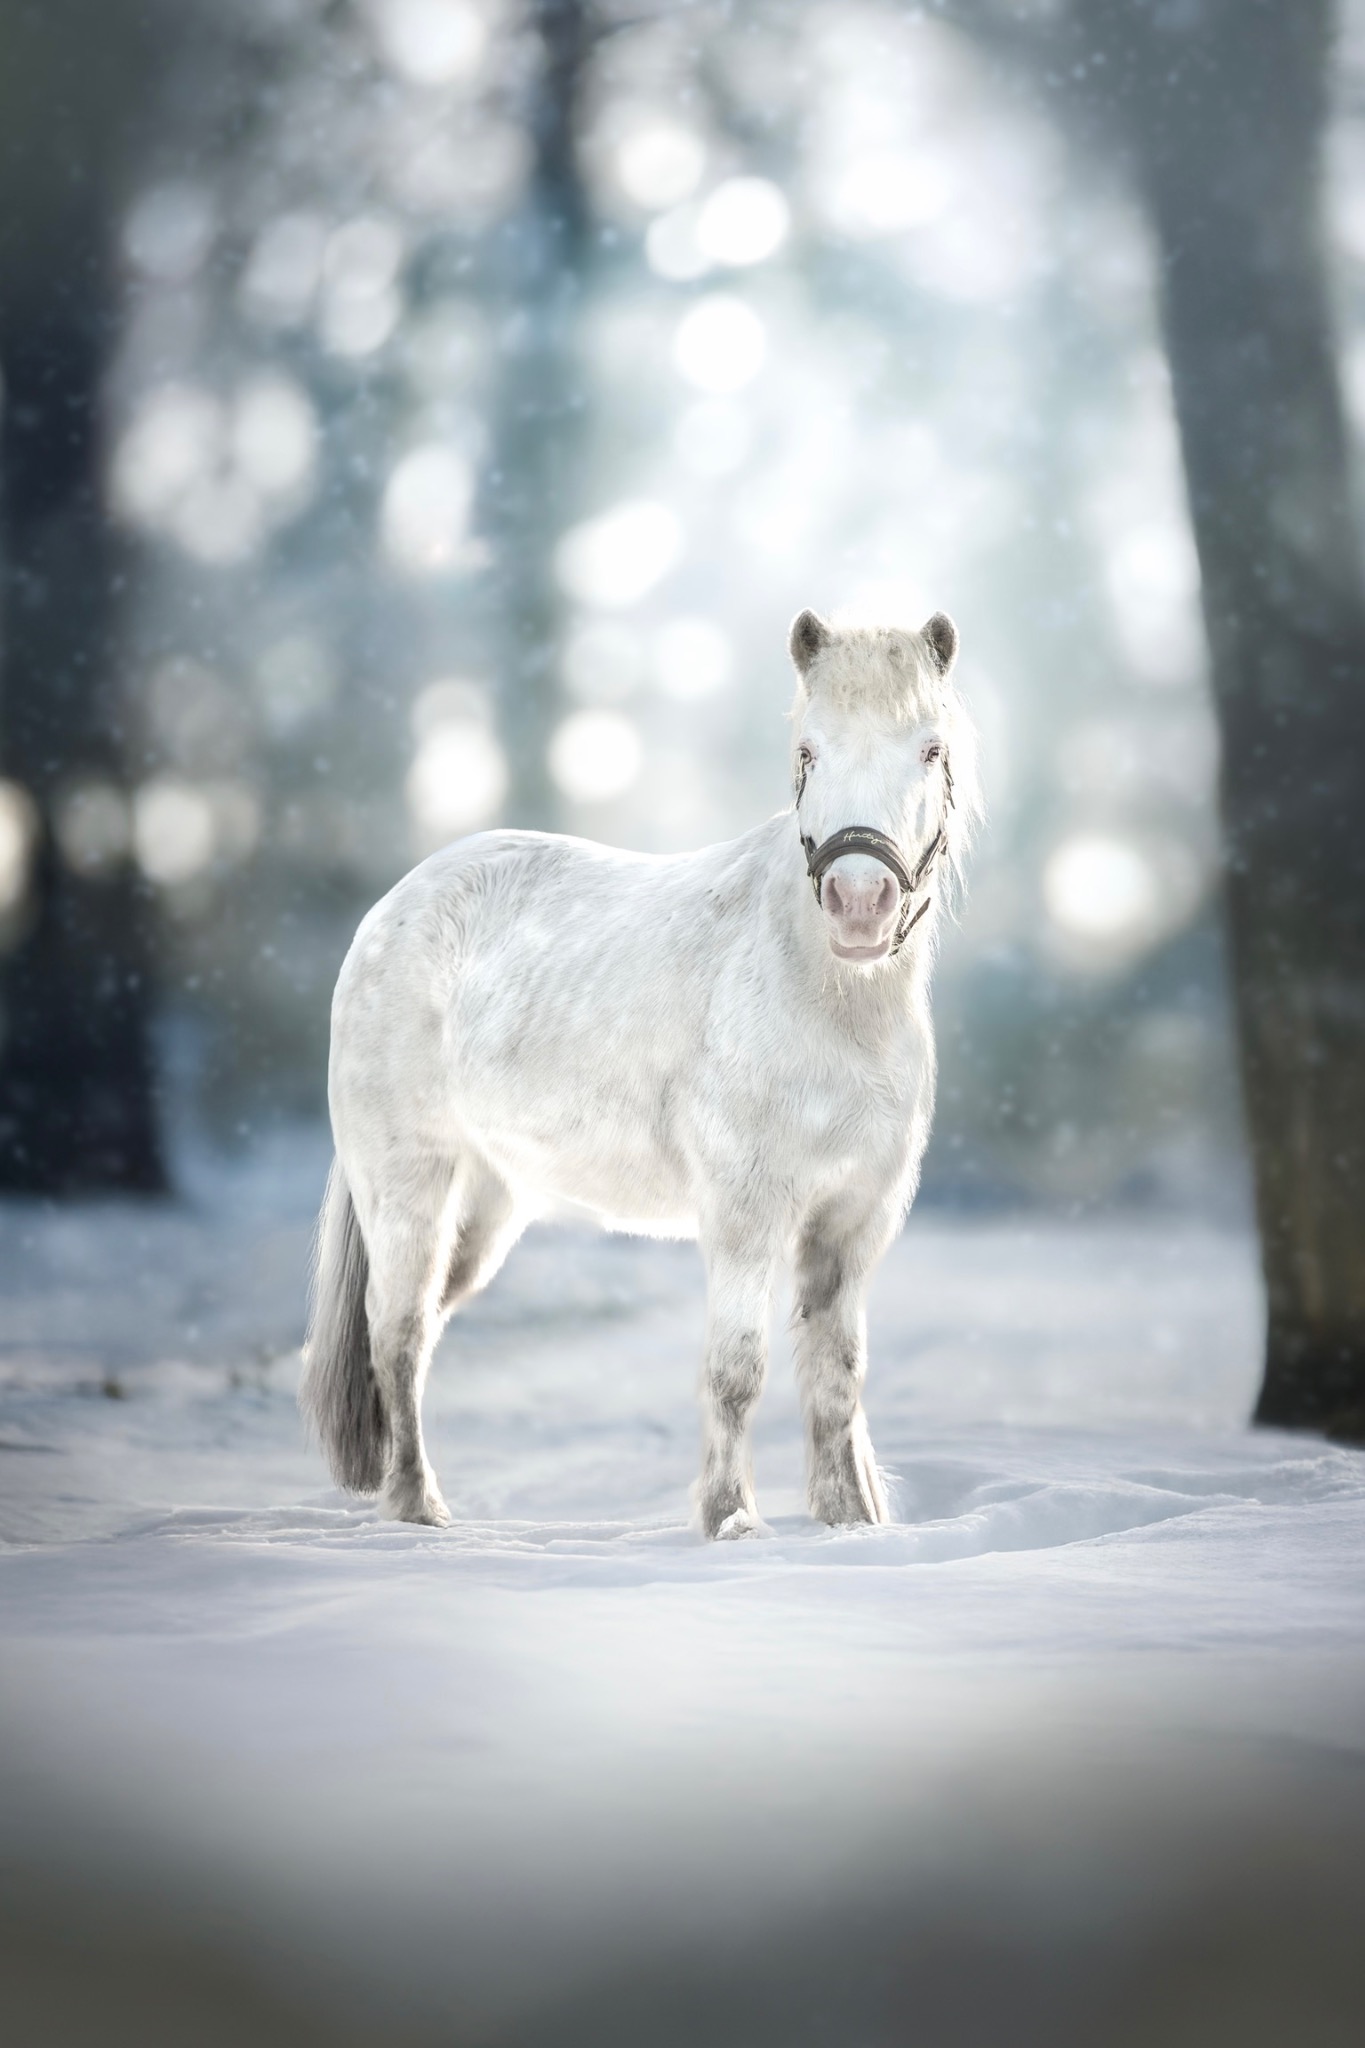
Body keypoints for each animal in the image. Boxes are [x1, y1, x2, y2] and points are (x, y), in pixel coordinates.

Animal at [301, 607, 978, 1537]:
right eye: (808, 751)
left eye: (929, 749)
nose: (857, 904)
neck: (825, 997)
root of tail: (391, 907)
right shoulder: (744, 1216)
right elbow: (736, 1371)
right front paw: (730, 1520)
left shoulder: (852, 1226)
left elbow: (836, 1380)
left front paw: (848, 1523)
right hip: (410, 1190)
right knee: (395, 1336)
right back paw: (418, 1508)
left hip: (485, 1206)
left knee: (420, 1332)